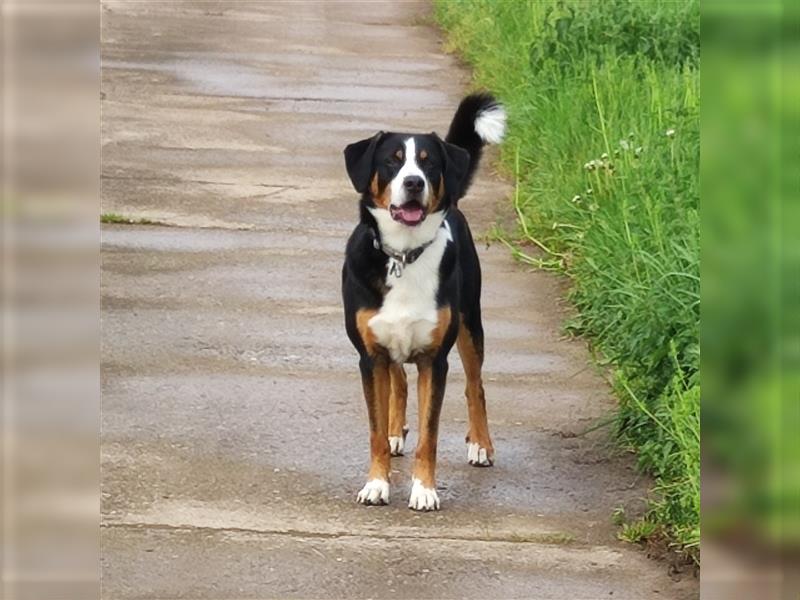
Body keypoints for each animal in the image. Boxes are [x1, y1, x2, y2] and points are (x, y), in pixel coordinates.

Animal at [340, 94, 504, 510]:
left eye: (429, 162)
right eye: (393, 160)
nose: (413, 182)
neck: (404, 254)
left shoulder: (435, 360)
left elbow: (430, 435)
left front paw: (425, 490)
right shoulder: (371, 357)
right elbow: (375, 430)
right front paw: (377, 484)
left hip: (470, 323)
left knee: (476, 386)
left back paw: (481, 445)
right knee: (398, 380)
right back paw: (396, 431)